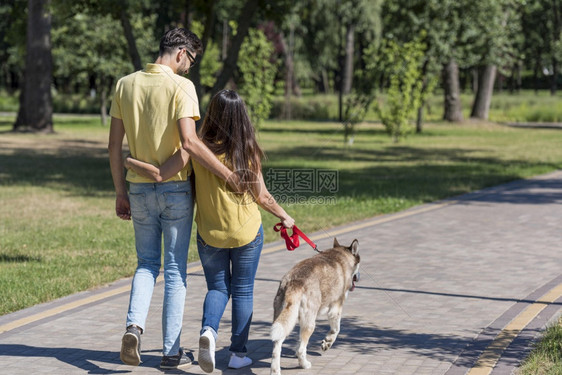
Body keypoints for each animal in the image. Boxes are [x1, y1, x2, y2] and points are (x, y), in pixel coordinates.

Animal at [270, 239, 358, 374]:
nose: (358, 278)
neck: (339, 255)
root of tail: (294, 282)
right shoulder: (335, 309)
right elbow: (336, 330)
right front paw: (327, 342)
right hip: (310, 324)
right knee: (301, 349)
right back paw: (304, 365)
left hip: (284, 320)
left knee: (277, 347)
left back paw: (275, 370)